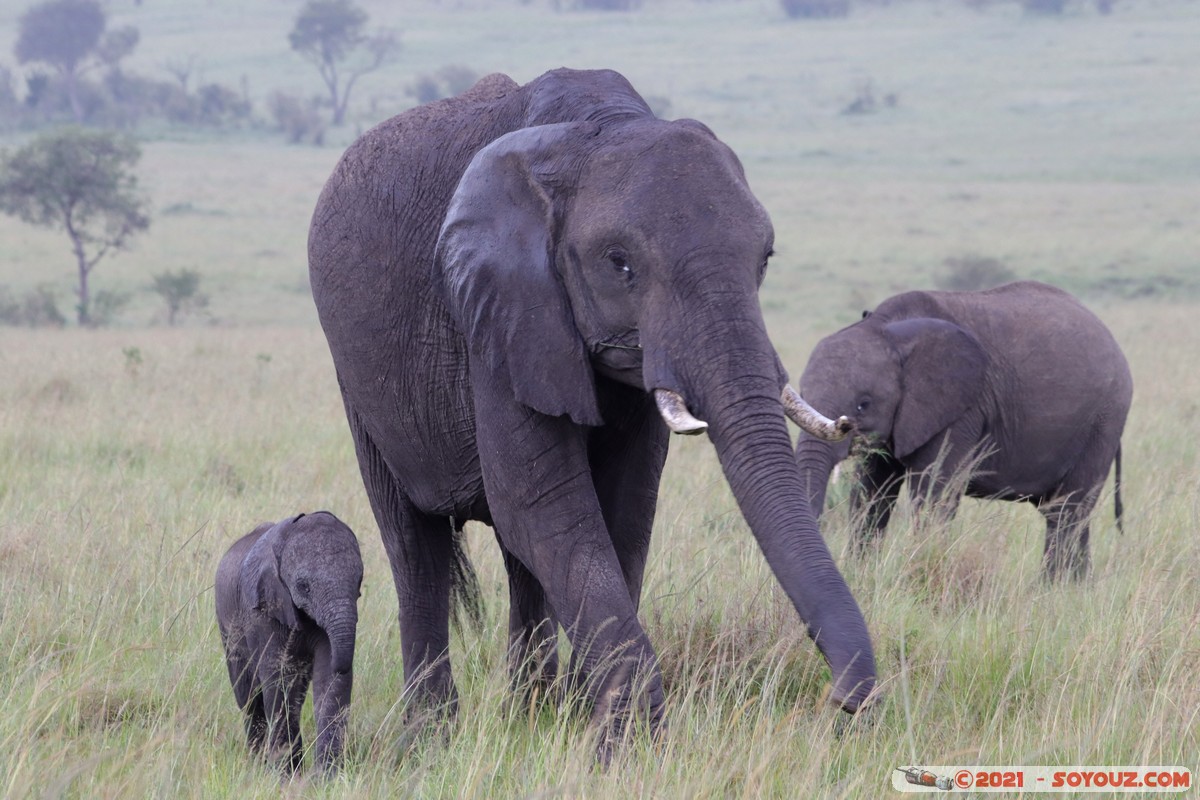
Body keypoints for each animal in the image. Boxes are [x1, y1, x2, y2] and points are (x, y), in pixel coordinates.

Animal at [216, 513, 362, 777]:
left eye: (359, 581)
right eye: (304, 586)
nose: (343, 665)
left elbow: (329, 682)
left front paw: (328, 777)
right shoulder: (263, 611)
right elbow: (279, 679)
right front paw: (287, 777)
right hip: (227, 624)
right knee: (249, 698)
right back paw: (258, 763)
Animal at [307, 67, 873, 753]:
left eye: (764, 260)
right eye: (619, 264)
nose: (842, 701)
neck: (598, 128)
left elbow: (623, 507)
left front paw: (586, 719)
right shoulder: (497, 313)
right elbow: (543, 505)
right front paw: (628, 743)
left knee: (515, 558)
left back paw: (528, 711)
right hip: (357, 378)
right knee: (415, 544)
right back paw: (432, 737)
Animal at [796, 281, 1132, 582]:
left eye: (863, 404)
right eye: (799, 393)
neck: (890, 328)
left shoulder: (961, 409)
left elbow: (932, 496)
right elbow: (870, 493)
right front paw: (859, 573)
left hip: (1104, 420)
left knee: (1065, 512)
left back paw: (1052, 589)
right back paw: (1078, 587)